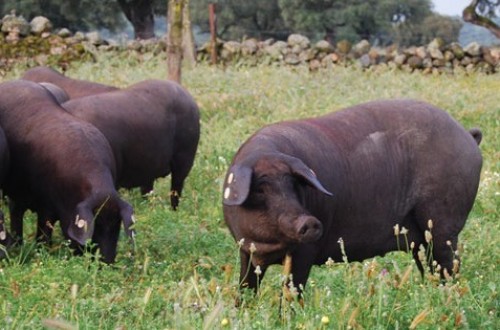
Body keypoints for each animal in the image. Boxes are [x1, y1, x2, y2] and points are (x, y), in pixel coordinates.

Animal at [0, 80, 135, 262]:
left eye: (116, 226)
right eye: (96, 226)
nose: (107, 262)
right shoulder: (45, 204)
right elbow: (44, 231)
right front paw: (42, 253)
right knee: (16, 211)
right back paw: (18, 245)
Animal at [63, 79, 200, 210]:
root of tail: (188, 97)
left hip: (185, 157)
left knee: (176, 188)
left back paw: (173, 211)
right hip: (148, 166)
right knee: (148, 191)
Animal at [223, 99, 480, 296]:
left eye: (294, 186)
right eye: (260, 189)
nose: (310, 221)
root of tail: (467, 136)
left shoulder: (306, 251)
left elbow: (292, 291)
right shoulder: (245, 250)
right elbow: (245, 287)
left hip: (443, 223)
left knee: (448, 265)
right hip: (421, 239)